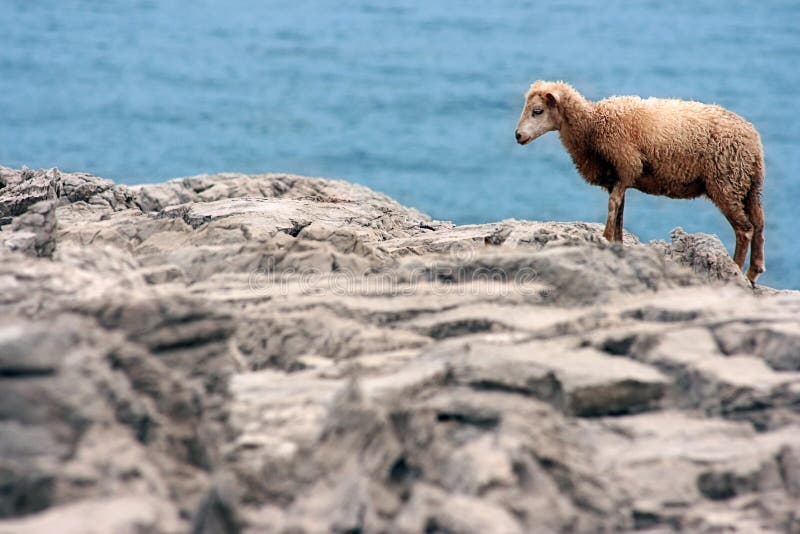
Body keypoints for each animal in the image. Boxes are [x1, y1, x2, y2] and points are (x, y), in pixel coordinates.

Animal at [516, 80, 764, 284]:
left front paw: (605, 239)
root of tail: (753, 141)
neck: (592, 126)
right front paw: (617, 243)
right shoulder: (619, 178)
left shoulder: (627, 165)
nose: (517, 135)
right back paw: (753, 272)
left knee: (744, 230)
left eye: (537, 111)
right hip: (748, 185)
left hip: (725, 182)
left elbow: (613, 206)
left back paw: (735, 270)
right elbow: (619, 211)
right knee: (759, 224)